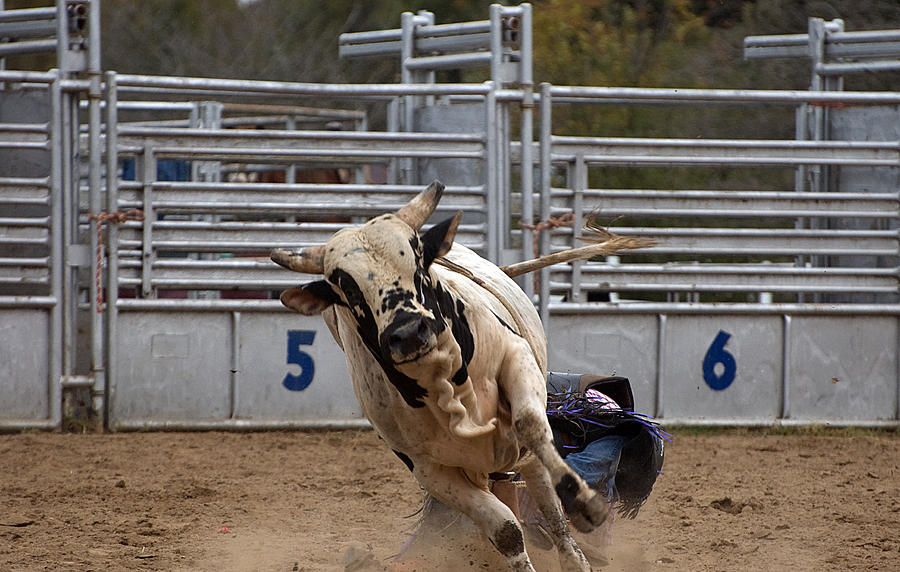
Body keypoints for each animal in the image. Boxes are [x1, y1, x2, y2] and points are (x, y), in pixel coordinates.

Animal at [270, 181, 652, 568]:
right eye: (346, 289)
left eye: (419, 261)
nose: (408, 332)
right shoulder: (428, 468)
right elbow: (505, 529)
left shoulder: (516, 359)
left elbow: (530, 426)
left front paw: (585, 504)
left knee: (547, 497)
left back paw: (575, 549)